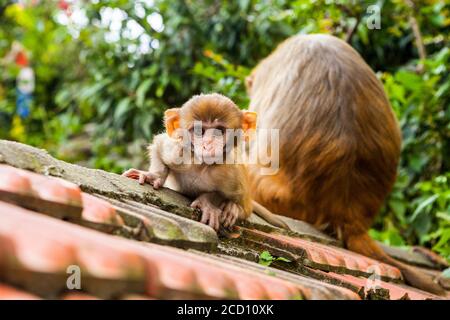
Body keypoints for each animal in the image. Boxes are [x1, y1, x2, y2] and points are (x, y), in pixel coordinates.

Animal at [123, 94, 290, 231]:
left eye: (219, 131)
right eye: (199, 131)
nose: (208, 144)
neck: (202, 166)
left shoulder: (231, 171)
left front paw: (208, 203)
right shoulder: (179, 153)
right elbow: (159, 146)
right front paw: (153, 176)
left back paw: (234, 208)